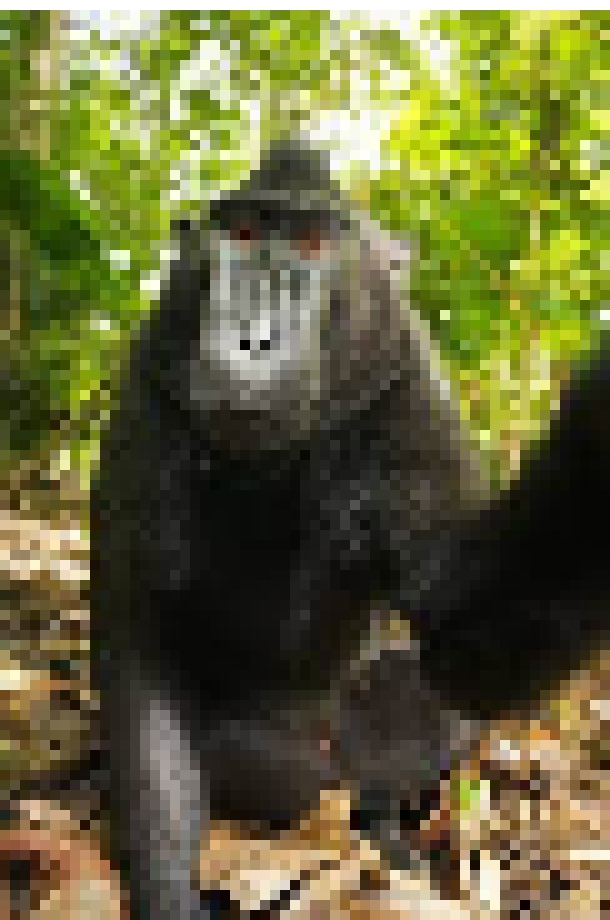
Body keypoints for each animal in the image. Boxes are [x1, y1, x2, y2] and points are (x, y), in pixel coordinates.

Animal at [93, 139, 485, 918]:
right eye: (242, 232)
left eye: (309, 243)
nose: (252, 341)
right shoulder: (147, 396)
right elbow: (137, 652)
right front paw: (166, 893)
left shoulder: (410, 394)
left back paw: (381, 831)